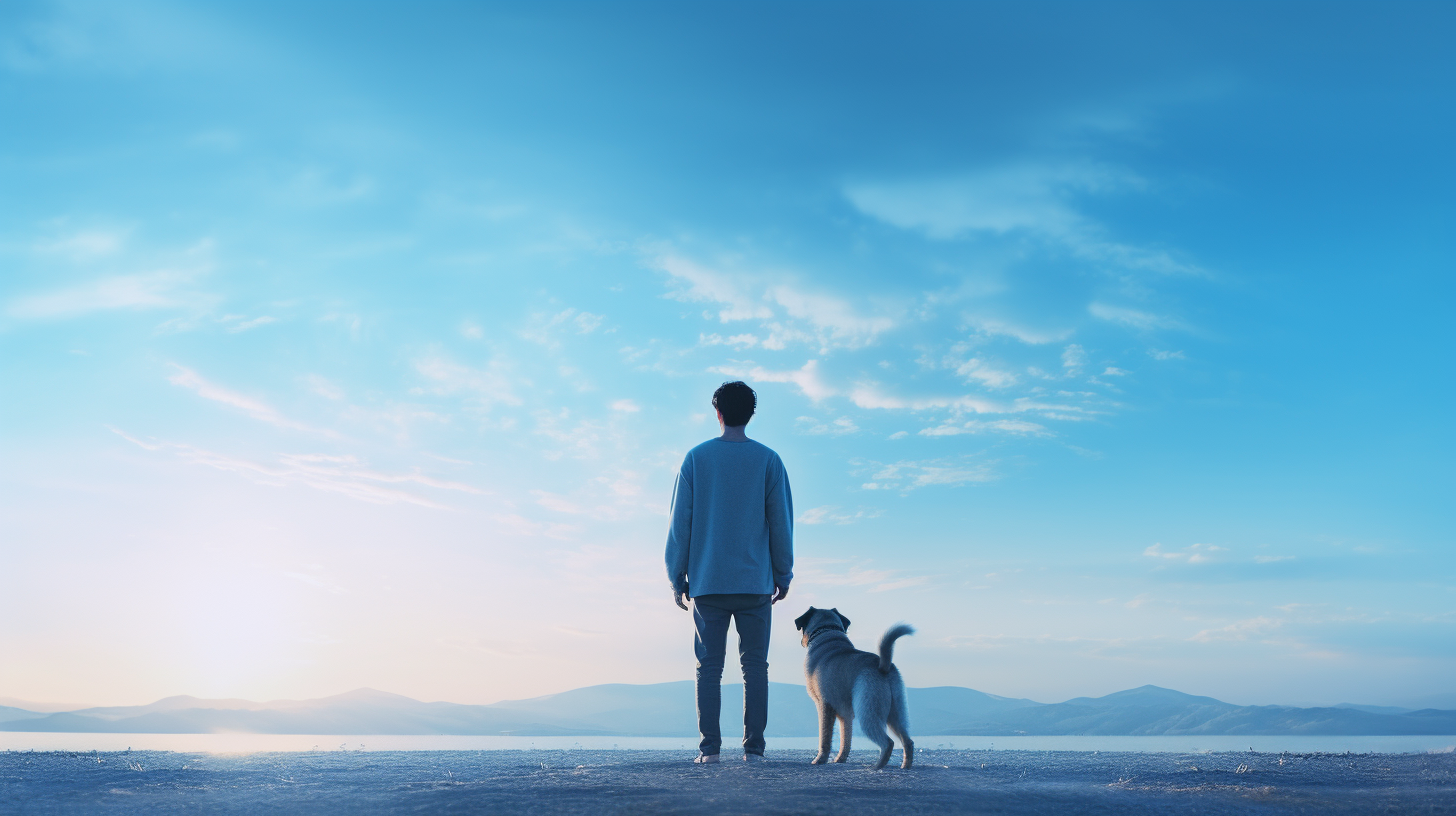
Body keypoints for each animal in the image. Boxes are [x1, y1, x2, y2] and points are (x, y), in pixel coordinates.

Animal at [792, 606, 914, 769]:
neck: (827, 633)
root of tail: (883, 666)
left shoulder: (824, 705)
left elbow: (825, 739)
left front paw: (820, 760)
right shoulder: (846, 714)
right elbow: (846, 739)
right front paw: (840, 759)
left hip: (868, 711)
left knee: (888, 743)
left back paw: (877, 767)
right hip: (896, 712)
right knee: (908, 741)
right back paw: (905, 766)